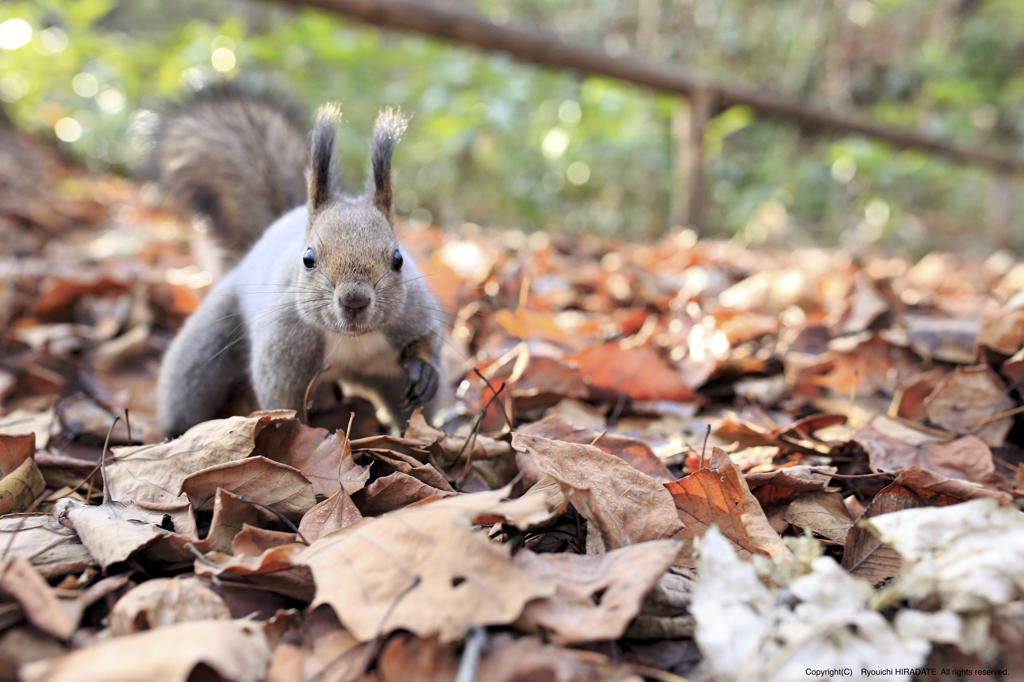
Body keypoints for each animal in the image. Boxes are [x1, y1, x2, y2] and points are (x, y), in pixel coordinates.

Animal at [153, 86, 442, 436]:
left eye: (398, 259)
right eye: (308, 258)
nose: (354, 301)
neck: (350, 338)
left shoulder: (414, 311)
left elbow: (429, 338)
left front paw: (424, 368)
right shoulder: (283, 348)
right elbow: (283, 400)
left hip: (387, 376)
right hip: (208, 341)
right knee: (189, 379)